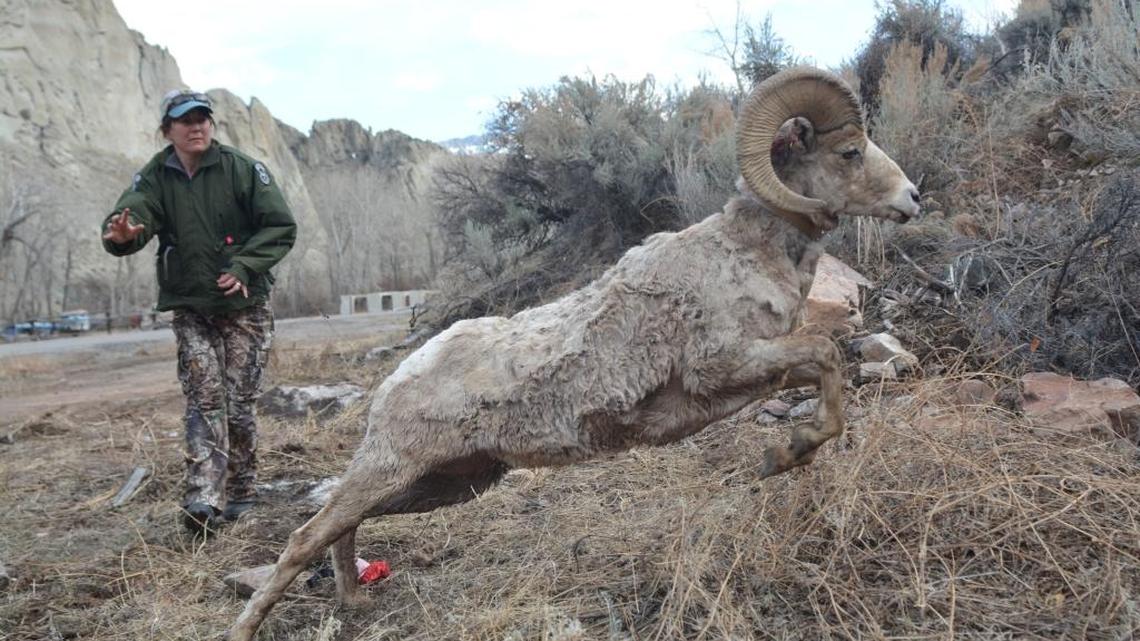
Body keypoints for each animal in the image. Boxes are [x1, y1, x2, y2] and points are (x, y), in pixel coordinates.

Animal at [227, 66, 920, 640]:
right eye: (849, 151)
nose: (913, 198)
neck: (748, 254)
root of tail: (399, 378)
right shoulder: (722, 366)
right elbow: (828, 356)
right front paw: (785, 454)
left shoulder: (763, 366)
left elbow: (824, 367)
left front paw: (790, 452)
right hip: (394, 470)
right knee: (305, 536)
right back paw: (247, 627)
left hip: (445, 484)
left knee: (341, 528)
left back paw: (354, 602)